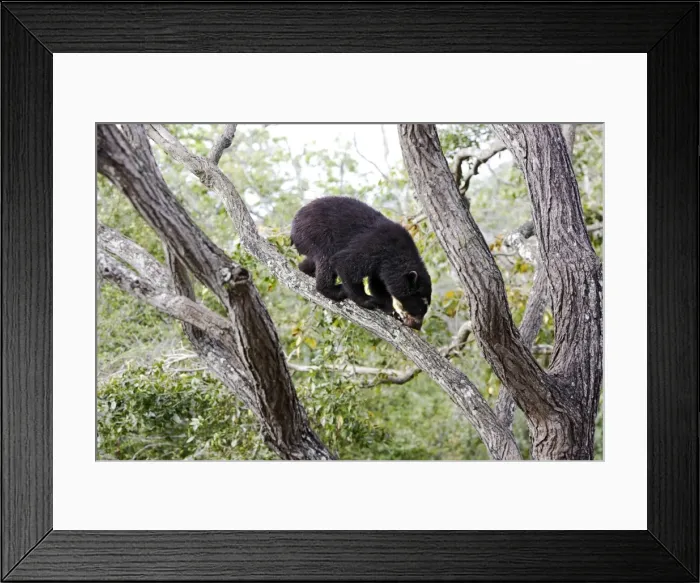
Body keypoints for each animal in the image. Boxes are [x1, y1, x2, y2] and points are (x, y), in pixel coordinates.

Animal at [290, 196, 432, 330]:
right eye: (422, 305)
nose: (417, 326)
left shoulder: (382, 266)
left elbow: (377, 285)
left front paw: (392, 311)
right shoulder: (376, 247)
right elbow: (345, 263)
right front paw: (367, 301)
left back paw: (305, 269)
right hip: (317, 234)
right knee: (326, 259)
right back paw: (334, 289)